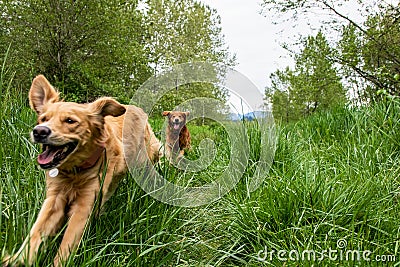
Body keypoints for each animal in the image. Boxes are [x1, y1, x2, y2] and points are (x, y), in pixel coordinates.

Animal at [2, 75, 162, 267]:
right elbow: (36, 232)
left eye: (70, 121)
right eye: (43, 118)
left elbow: (68, 242)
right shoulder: (55, 198)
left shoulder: (85, 203)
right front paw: (17, 259)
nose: (39, 131)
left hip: (145, 162)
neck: (75, 172)